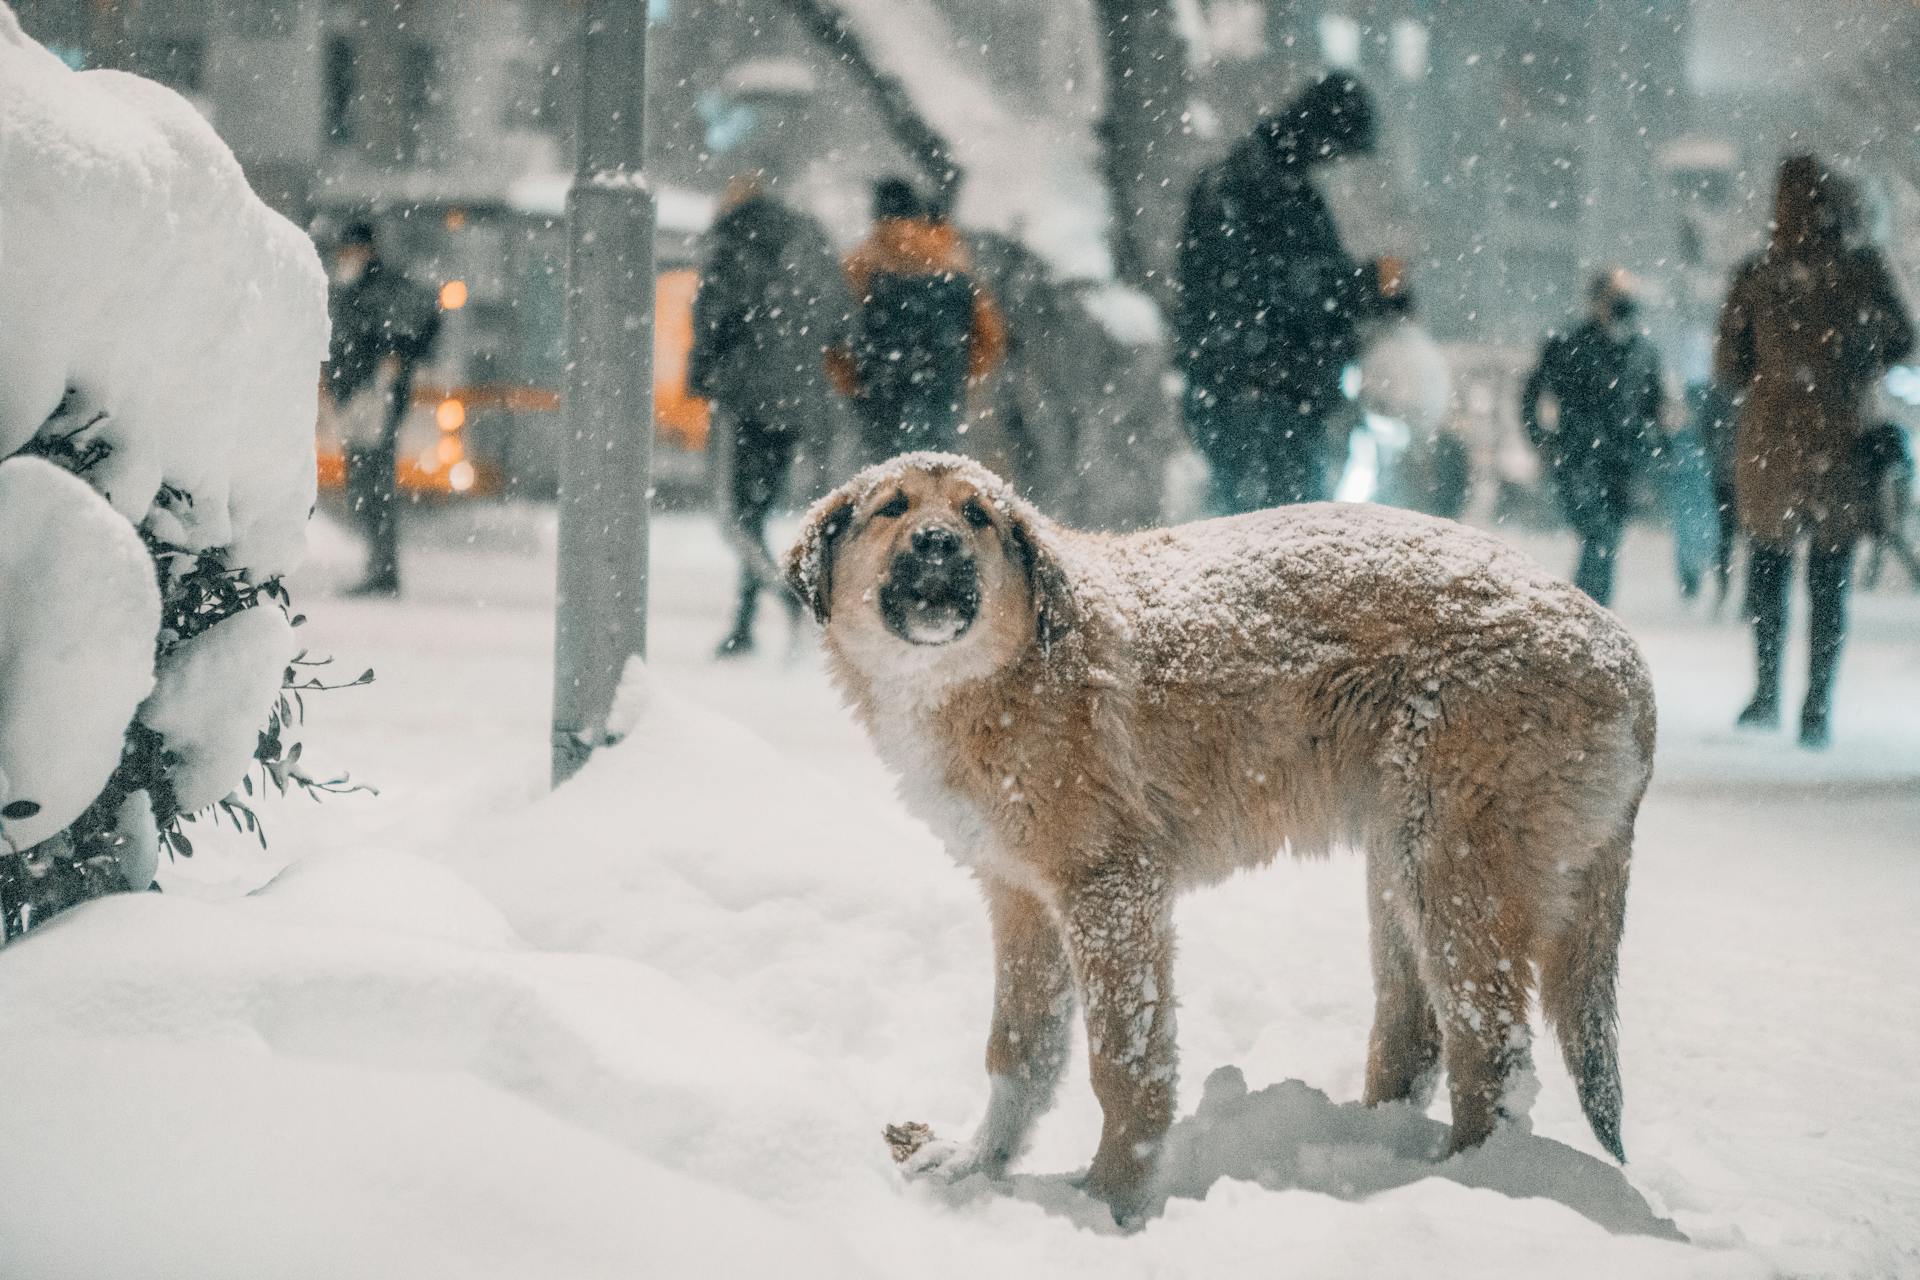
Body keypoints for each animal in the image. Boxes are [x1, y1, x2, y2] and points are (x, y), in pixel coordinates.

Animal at [787, 452, 1658, 1220]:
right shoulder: (1022, 899)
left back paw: (1463, 1188)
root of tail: (1623, 651)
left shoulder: (1113, 892)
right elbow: (1019, 1055)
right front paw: (977, 1167)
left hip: (1454, 875)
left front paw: (1107, 1203)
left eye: (979, 516)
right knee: (1415, 1041)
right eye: (893, 508)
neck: (1006, 671)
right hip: (1398, 867)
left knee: (1494, 1059)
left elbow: (1124, 1064)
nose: (938, 542)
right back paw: (1375, 1147)